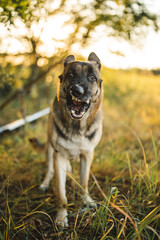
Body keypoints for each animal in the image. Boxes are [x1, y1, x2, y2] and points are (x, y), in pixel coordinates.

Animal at [35, 52, 103, 227]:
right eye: (70, 75)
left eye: (92, 77)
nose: (77, 90)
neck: (77, 127)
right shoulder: (59, 156)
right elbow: (61, 193)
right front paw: (61, 217)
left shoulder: (87, 155)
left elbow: (84, 182)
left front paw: (86, 200)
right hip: (50, 151)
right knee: (50, 170)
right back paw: (45, 183)